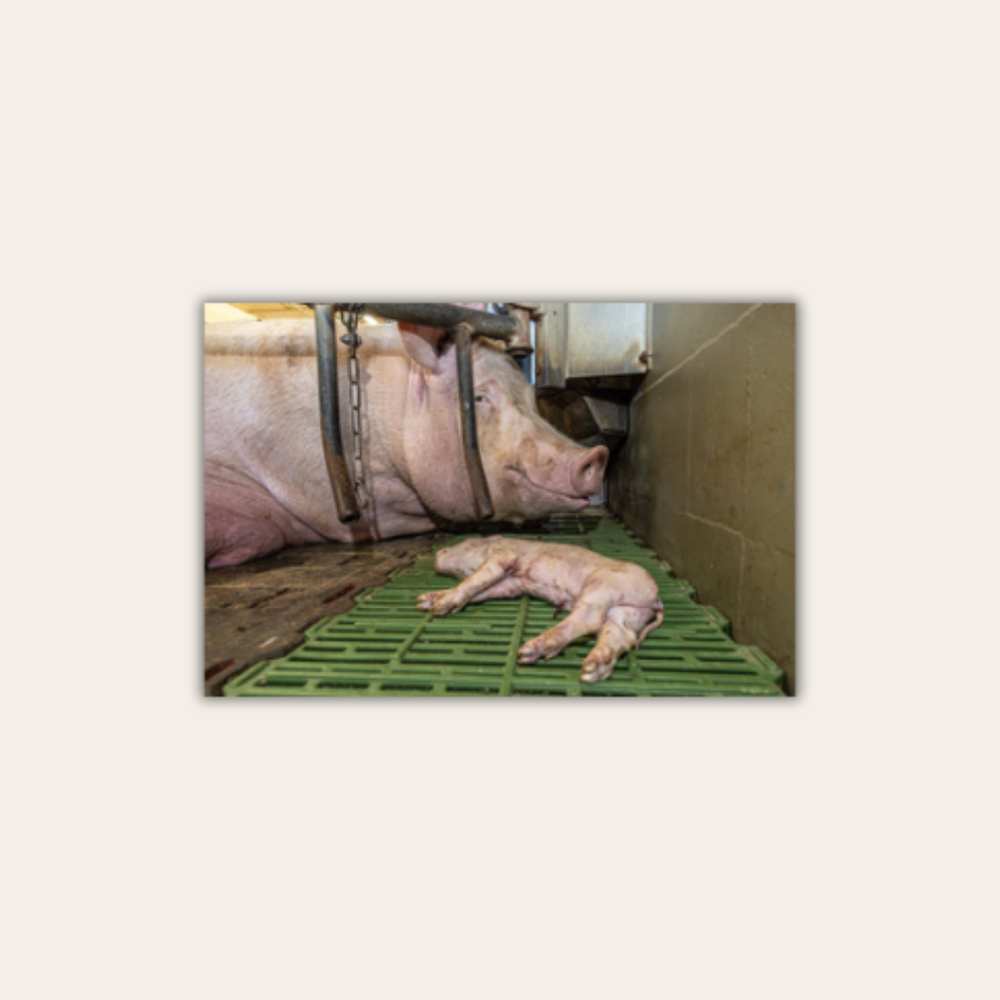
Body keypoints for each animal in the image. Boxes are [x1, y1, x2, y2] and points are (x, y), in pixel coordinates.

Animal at [417, 537, 664, 683]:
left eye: (465, 543)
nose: (440, 552)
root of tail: (656, 598)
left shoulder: (505, 554)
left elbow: (475, 580)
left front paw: (439, 607)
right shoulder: (510, 586)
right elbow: (480, 589)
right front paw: (424, 601)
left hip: (604, 583)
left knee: (588, 617)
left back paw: (529, 651)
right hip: (627, 614)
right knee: (622, 636)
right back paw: (591, 669)